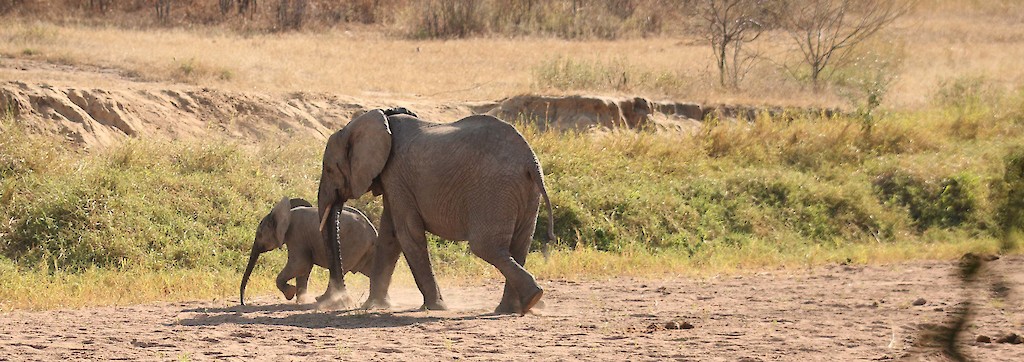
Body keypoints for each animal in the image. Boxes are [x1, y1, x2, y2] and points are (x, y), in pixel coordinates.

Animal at [238, 196, 376, 304]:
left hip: (353, 246)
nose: (243, 303)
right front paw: (301, 300)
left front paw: (290, 293)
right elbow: (304, 268)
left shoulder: (296, 234)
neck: (287, 212)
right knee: (371, 269)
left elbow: (300, 265)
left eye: (259, 234)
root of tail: (373, 233)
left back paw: (322, 300)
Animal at [317, 107, 552, 312]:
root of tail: (530, 160)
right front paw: (374, 306)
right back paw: (515, 307)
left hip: (495, 189)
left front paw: (435, 307)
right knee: (519, 245)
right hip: (523, 191)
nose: (338, 299)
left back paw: (530, 298)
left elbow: (407, 233)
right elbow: (390, 236)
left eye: (328, 169)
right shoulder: (395, 180)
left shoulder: (396, 174)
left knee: (486, 247)